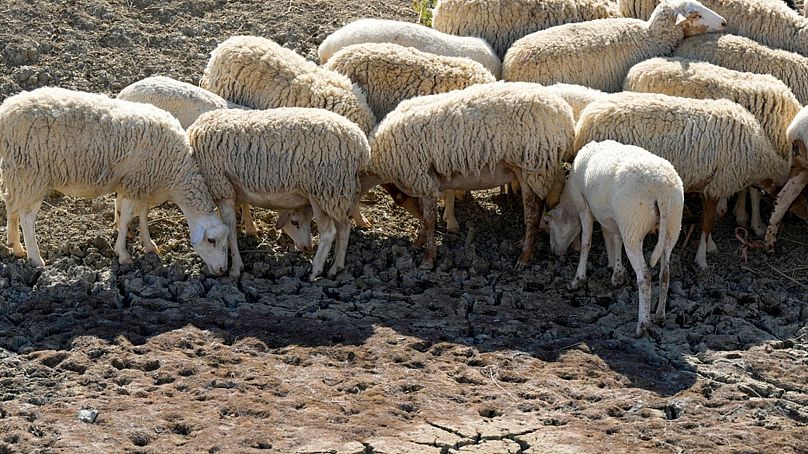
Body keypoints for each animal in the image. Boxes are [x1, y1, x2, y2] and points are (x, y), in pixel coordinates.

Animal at [0, 87, 230, 275]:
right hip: (34, 175)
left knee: (11, 204)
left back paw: (15, 246)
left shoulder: (143, 183)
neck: (176, 174)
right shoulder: (131, 182)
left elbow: (144, 214)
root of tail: (8, 109)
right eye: (211, 240)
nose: (222, 270)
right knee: (27, 217)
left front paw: (149, 245)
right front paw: (123, 254)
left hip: (18, 174)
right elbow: (127, 218)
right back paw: (35, 258)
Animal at [187, 107, 370, 280]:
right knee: (344, 227)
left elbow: (230, 230)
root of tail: (362, 144)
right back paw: (336, 267)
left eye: (211, 241)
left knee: (329, 232)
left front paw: (235, 268)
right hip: (337, 193)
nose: (307, 248)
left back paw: (315, 271)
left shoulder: (222, 188)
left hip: (323, 189)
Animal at [365, 82, 575, 270]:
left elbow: (429, 219)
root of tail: (565, 113)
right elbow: (426, 216)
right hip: (534, 170)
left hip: (534, 166)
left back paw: (524, 257)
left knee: (533, 212)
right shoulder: (425, 183)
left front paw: (428, 258)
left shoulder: (423, 179)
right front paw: (419, 243)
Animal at [546, 140, 684, 337]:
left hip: (633, 225)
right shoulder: (614, 218)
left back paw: (642, 325)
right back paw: (660, 316)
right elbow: (616, 239)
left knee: (645, 276)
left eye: (549, 225)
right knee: (665, 273)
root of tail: (661, 190)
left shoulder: (584, 207)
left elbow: (586, 243)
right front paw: (617, 272)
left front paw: (578, 280)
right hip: (672, 225)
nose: (554, 252)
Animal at [575, 92, 790, 269]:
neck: (758, 157)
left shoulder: (710, 185)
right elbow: (708, 222)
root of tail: (586, 119)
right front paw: (703, 258)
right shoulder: (716, 185)